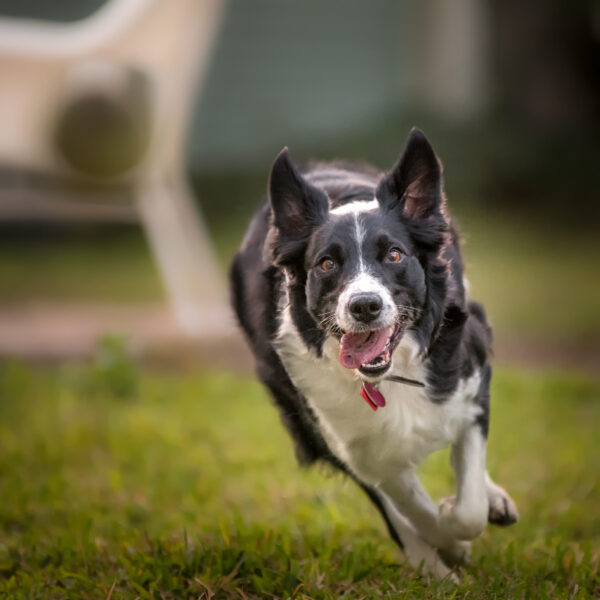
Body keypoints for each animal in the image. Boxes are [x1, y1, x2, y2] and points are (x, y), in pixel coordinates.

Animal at [230, 130, 516, 576]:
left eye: (394, 255)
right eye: (326, 263)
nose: (365, 305)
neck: (388, 374)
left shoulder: (471, 373)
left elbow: (468, 505)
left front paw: (458, 520)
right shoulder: (350, 442)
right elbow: (406, 501)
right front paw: (446, 547)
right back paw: (430, 564)